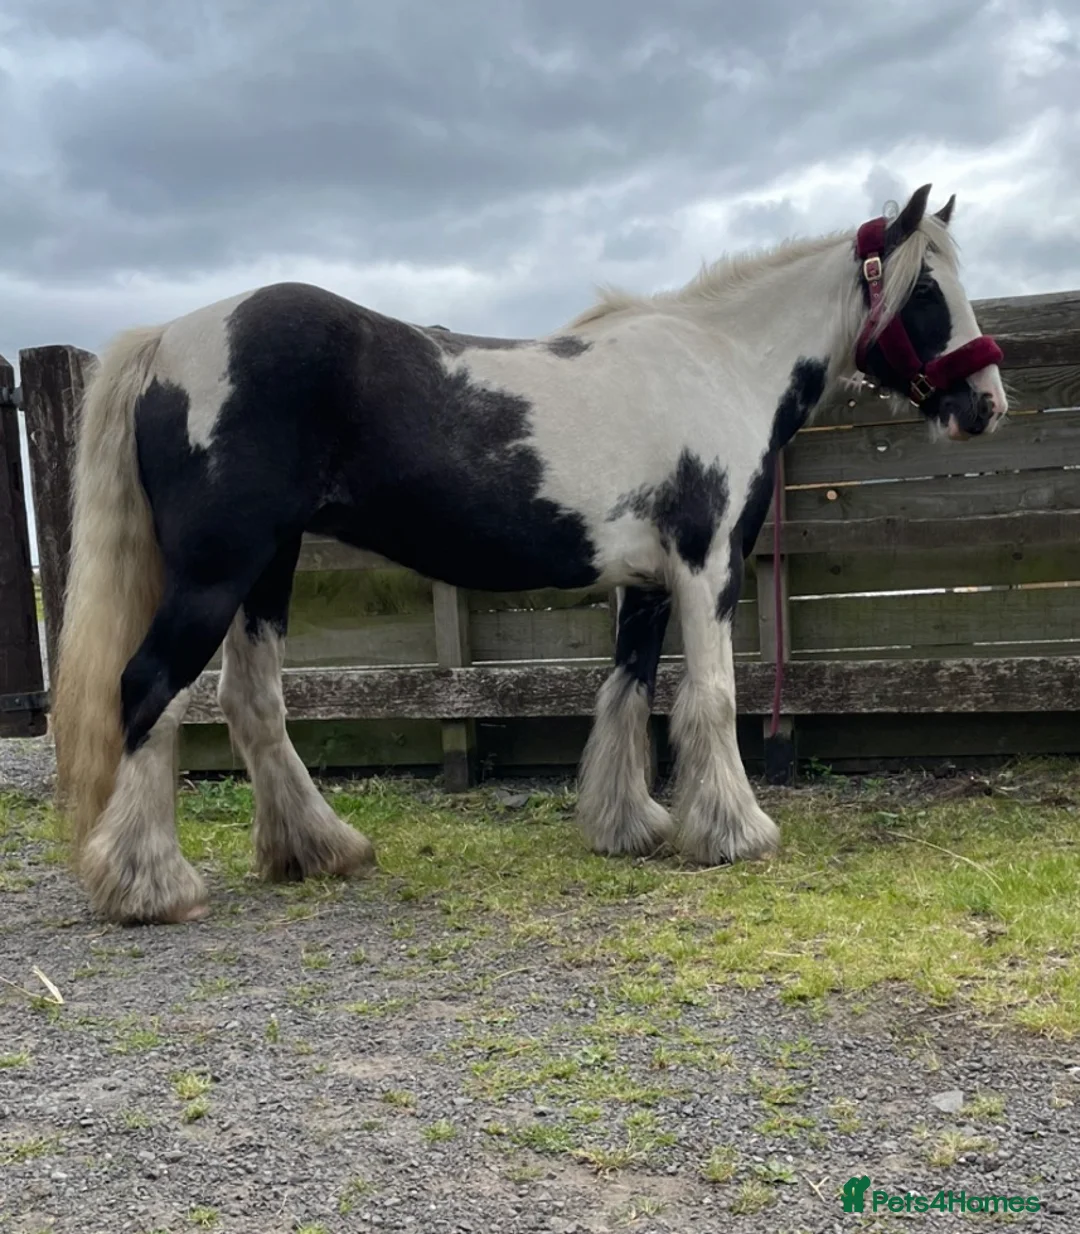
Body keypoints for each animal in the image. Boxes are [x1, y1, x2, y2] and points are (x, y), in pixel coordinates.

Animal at [51, 183, 1007, 924]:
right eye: (927, 290)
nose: (987, 404)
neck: (722, 364)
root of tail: (168, 338)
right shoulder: (706, 568)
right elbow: (712, 698)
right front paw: (735, 833)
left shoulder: (647, 585)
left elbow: (628, 694)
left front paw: (628, 828)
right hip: (216, 571)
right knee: (147, 690)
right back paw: (152, 886)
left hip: (267, 570)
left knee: (251, 705)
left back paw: (317, 850)